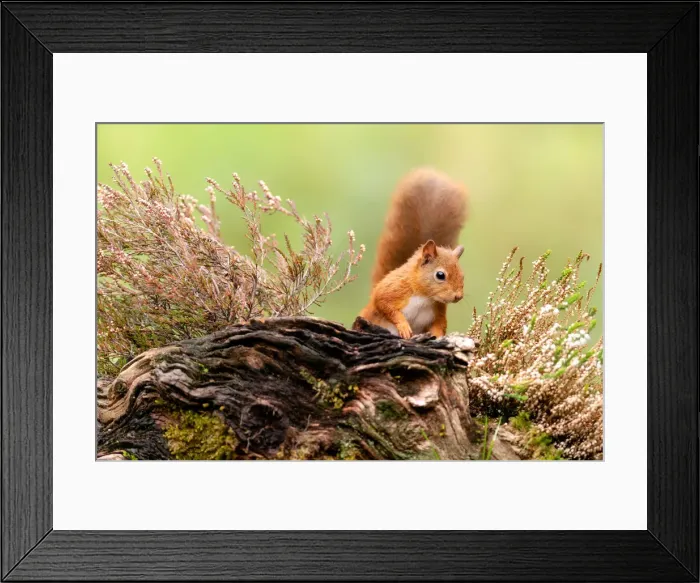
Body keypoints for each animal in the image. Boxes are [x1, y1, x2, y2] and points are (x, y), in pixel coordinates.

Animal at [355, 167, 469, 339]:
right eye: (440, 275)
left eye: (462, 276)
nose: (458, 296)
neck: (424, 297)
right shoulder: (391, 290)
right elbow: (384, 304)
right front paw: (403, 326)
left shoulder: (438, 310)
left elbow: (440, 324)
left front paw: (438, 337)